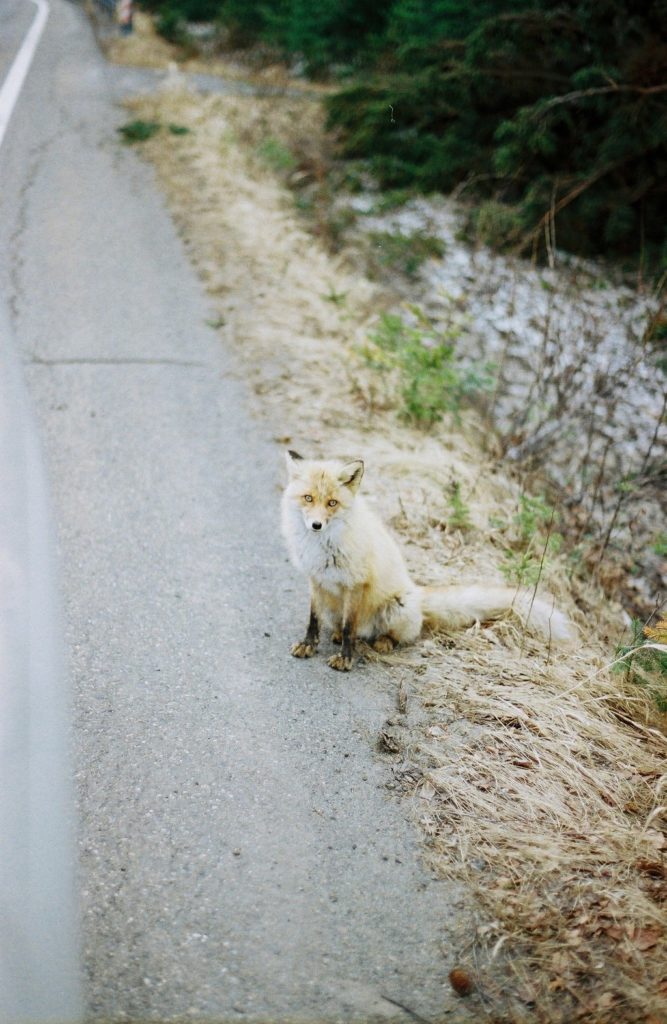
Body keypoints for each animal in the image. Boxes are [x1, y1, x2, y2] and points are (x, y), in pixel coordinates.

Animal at [280, 450, 573, 671]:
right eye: (308, 498)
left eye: (332, 503)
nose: (316, 525)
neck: (323, 547)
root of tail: (419, 594)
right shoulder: (316, 579)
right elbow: (313, 619)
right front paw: (309, 645)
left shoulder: (356, 584)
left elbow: (350, 627)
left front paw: (346, 658)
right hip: (335, 607)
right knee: (340, 625)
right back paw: (337, 634)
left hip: (397, 607)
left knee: (396, 634)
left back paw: (383, 642)